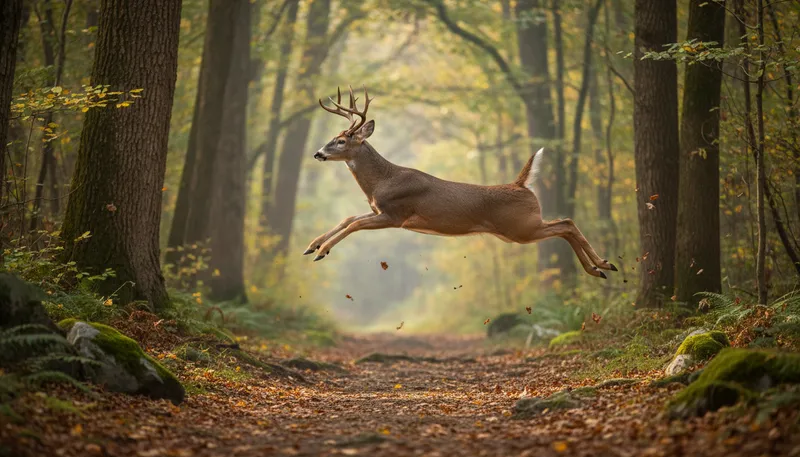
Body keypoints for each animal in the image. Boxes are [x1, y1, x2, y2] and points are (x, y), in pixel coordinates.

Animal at [304, 86, 617, 279]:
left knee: (566, 223)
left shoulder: (396, 215)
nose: (318, 153)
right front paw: (312, 245)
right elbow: (348, 218)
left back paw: (603, 264)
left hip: (521, 227)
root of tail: (520, 184)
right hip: (518, 229)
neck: (383, 180)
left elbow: (354, 224)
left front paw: (321, 252)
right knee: (565, 226)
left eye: (341, 140)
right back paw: (599, 268)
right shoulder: (380, 210)